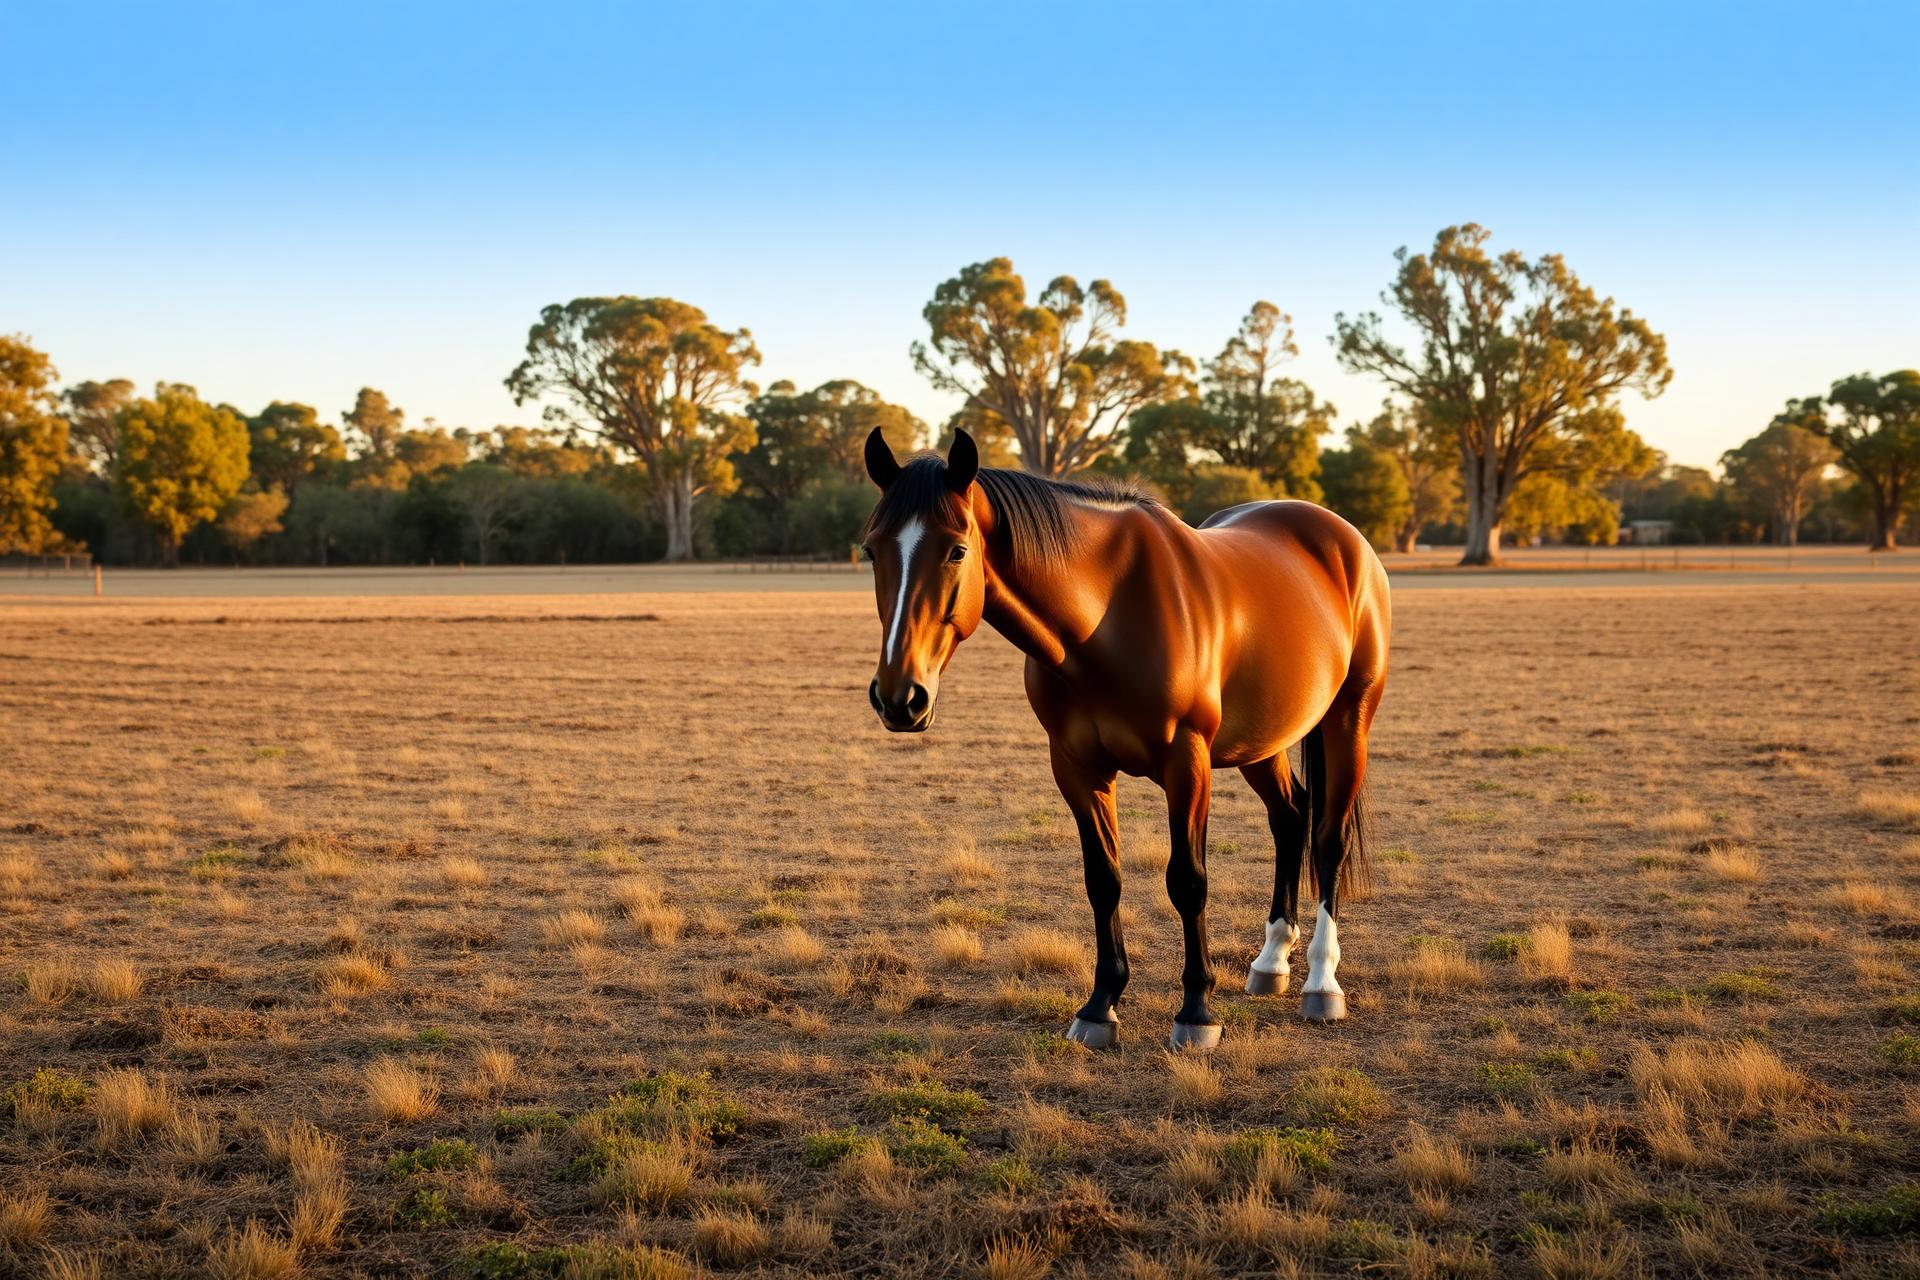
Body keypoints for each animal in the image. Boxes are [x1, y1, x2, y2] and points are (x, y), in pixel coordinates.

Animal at [860, 427, 1391, 1051]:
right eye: (871, 550)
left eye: (956, 550)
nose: (900, 698)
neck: (1107, 616)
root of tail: (1343, 539)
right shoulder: (1077, 768)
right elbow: (1103, 880)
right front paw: (1099, 1007)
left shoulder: (1187, 763)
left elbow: (1187, 881)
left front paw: (1196, 1012)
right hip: (1260, 742)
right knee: (1290, 817)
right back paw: (1270, 963)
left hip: (1348, 719)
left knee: (1327, 838)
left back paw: (1321, 984)